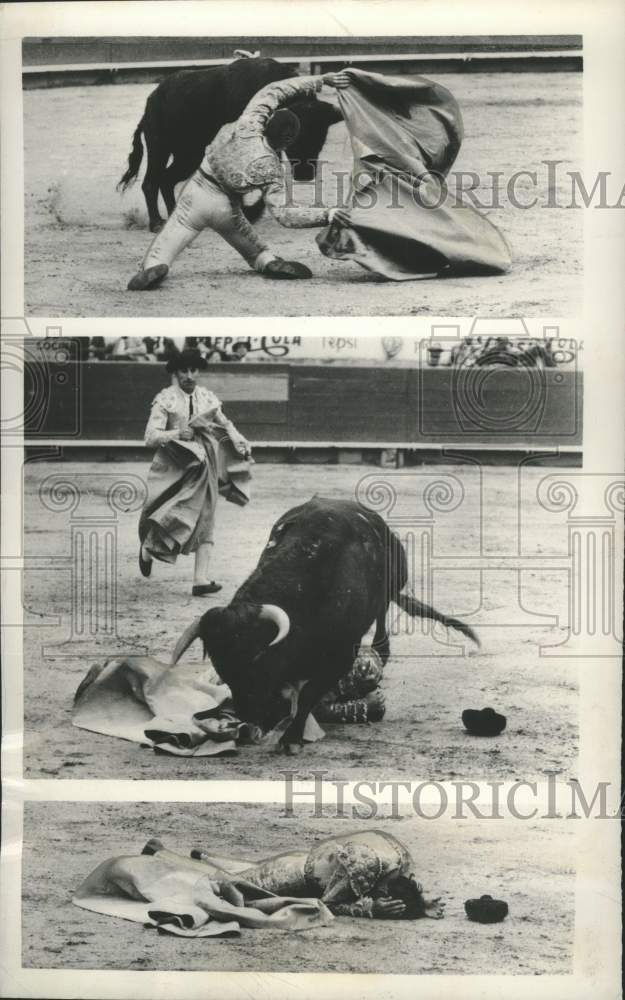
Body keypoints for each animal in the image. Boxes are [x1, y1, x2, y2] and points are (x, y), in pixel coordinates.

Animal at [117, 57, 342, 232]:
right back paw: (156, 223)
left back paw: (175, 215)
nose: (305, 175)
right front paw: (247, 213)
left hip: (188, 154)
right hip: (159, 147)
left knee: (167, 180)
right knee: (151, 182)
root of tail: (151, 100)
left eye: (321, 139)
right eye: (295, 141)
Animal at [171, 498, 478, 752]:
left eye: (257, 657)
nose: (249, 716)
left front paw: (291, 739)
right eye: (220, 663)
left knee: (381, 622)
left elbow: (308, 694)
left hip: (390, 588)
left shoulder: (341, 655)